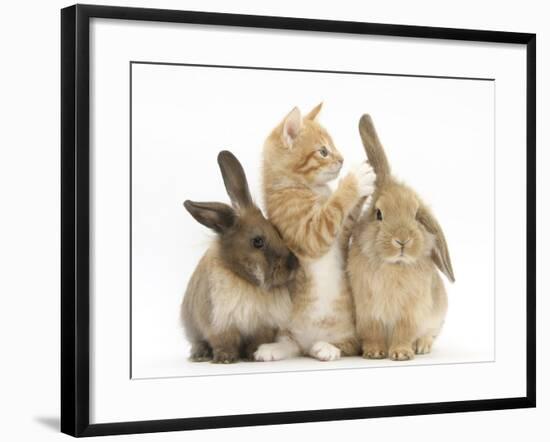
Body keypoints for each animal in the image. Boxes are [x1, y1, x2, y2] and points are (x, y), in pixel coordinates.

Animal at [182, 150, 300, 364]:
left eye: (276, 230)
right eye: (257, 241)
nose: (294, 264)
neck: (247, 282)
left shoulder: (262, 326)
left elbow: (257, 340)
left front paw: (253, 355)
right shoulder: (220, 325)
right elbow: (223, 342)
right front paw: (225, 359)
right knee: (198, 342)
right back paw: (200, 355)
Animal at [256, 104, 378, 362]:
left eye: (333, 147)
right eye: (323, 151)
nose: (342, 159)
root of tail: (308, 342)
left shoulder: (342, 233)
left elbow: (347, 214)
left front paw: (363, 184)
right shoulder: (309, 232)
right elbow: (334, 208)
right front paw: (355, 180)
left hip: (348, 328)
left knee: (348, 344)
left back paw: (325, 347)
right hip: (287, 326)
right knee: (292, 345)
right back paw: (274, 348)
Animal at [350, 115, 458, 360]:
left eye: (416, 214)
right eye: (378, 214)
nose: (402, 240)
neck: (393, 265)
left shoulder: (410, 312)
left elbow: (404, 332)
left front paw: (400, 354)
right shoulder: (368, 312)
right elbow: (373, 333)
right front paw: (374, 352)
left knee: (429, 335)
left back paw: (422, 346)